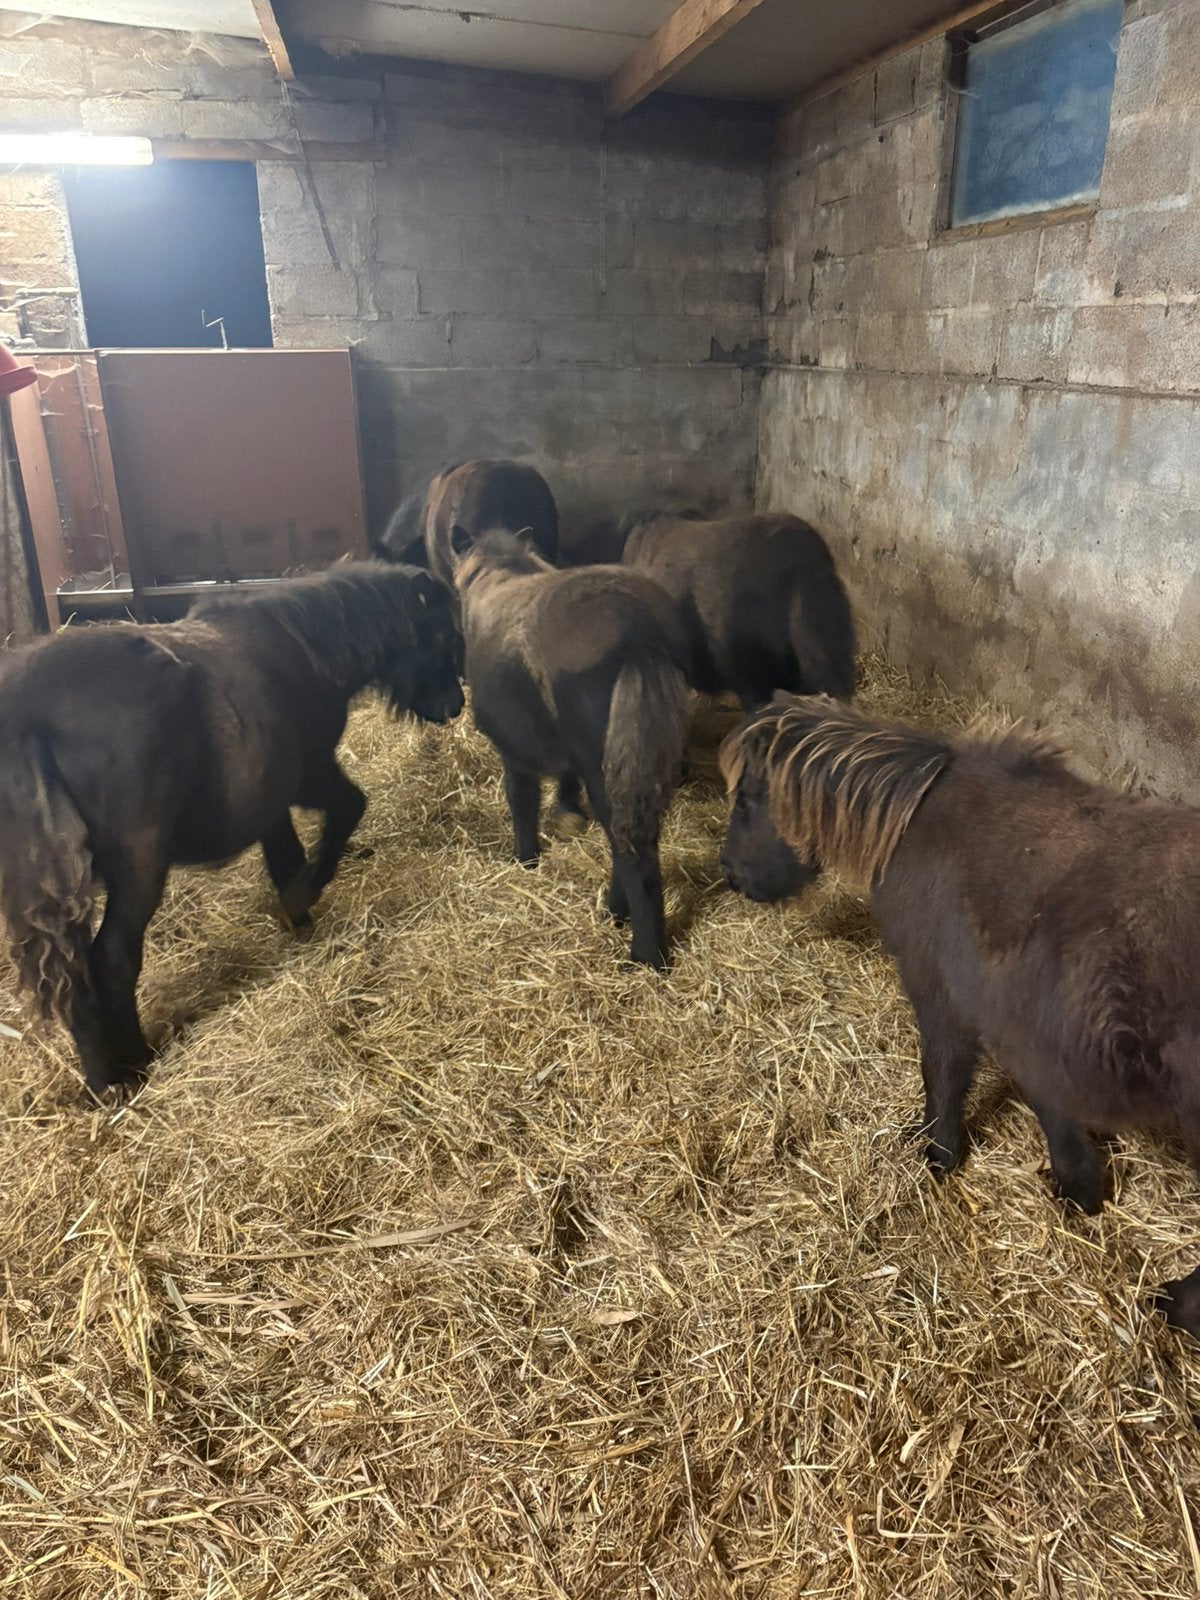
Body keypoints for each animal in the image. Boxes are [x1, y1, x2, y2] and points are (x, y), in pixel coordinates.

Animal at [0, 562, 464, 1098]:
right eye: (439, 635)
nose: (455, 704)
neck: (304, 644)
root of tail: (26, 713)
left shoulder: (271, 802)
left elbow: (286, 860)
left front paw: (300, 921)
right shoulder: (310, 776)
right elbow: (346, 814)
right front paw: (303, 900)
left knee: (73, 974)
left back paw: (102, 1080)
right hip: (138, 871)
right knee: (111, 960)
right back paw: (132, 1063)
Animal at [453, 525, 691, 969]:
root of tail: (639, 631)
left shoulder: (512, 751)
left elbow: (521, 800)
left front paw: (525, 858)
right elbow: (564, 783)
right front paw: (566, 815)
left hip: (605, 767)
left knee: (632, 851)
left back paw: (644, 952)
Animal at [718, 693, 1200, 1341]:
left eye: (747, 799)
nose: (730, 874)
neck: (917, 820)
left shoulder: (941, 989)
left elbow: (945, 1074)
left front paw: (940, 1153)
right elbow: (1048, 1099)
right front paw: (1079, 1184)